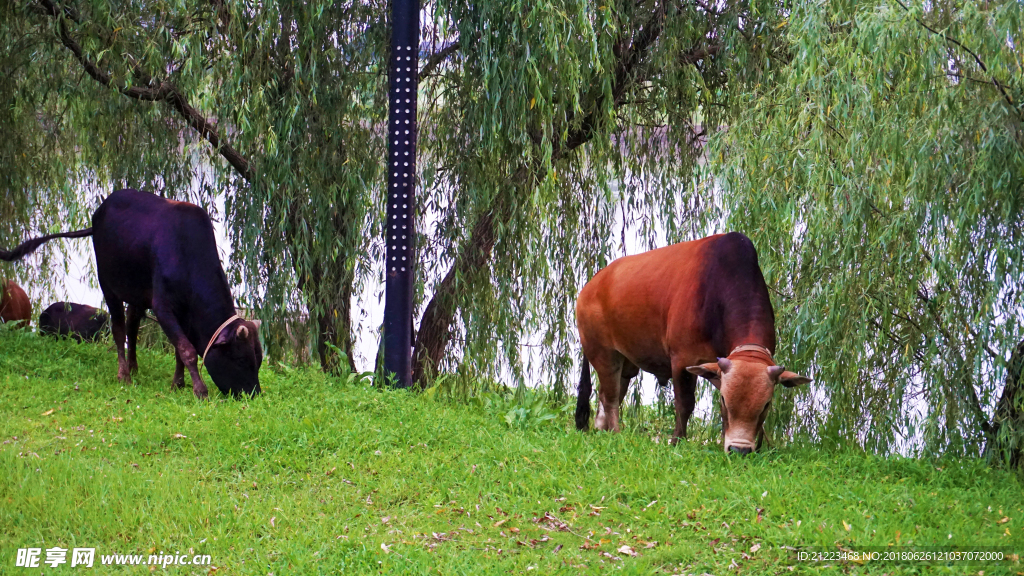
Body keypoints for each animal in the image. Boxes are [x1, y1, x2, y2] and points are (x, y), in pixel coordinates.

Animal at [3, 190, 264, 397]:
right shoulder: (163, 307)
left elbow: (179, 349)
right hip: (108, 285)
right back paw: (124, 375)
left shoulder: (182, 313)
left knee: (132, 327)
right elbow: (187, 349)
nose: (253, 394)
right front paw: (199, 390)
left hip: (137, 294)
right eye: (241, 359)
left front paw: (178, 383)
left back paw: (133, 367)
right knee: (119, 330)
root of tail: (99, 213)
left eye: (259, 360)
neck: (186, 254)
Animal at [577, 230, 806, 450]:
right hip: (604, 354)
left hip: (626, 364)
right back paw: (616, 433)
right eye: (724, 401)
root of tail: (589, 287)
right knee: (610, 397)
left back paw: (603, 431)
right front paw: (677, 441)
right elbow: (685, 404)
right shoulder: (682, 360)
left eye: (766, 404)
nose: (739, 449)